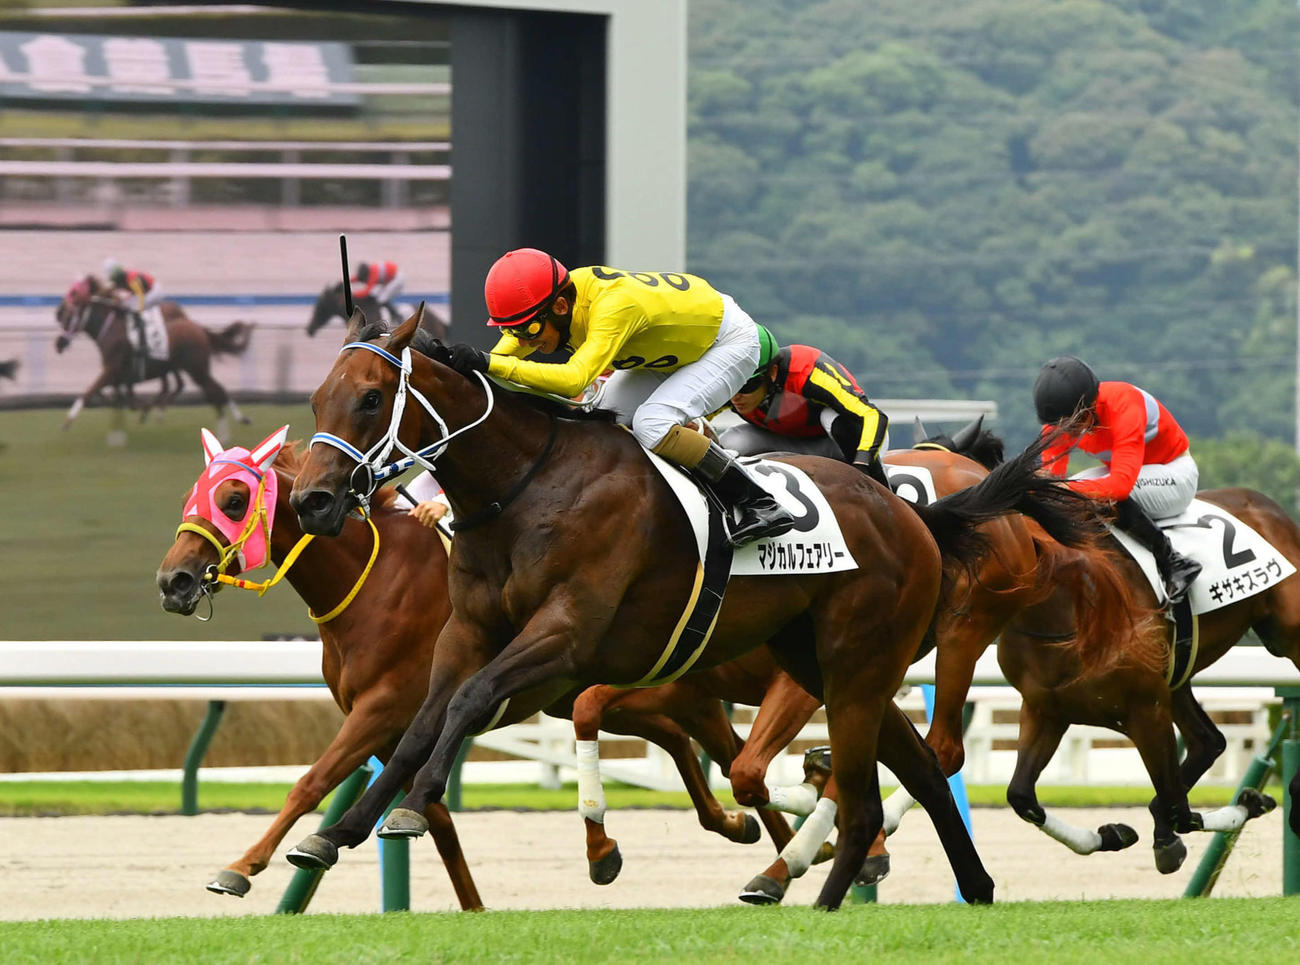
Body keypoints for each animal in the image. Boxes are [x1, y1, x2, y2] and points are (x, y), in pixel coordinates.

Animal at [55, 275, 253, 438]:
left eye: (68, 314)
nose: (58, 343)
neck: (110, 328)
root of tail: (198, 327)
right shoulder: (118, 376)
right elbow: (111, 396)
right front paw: (125, 425)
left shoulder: (111, 370)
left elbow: (88, 392)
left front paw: (67, 421)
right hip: (189, 369)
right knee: (209, 390)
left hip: (197, 369)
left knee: (216, 391)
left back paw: (228, 429)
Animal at [155, 429, 796, 905]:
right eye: (191, 494)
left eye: (234, 500)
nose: (173, 581)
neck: (375, 584)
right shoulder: (398, 729)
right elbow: (436, 820)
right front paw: (471, 905)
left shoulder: (380, 710)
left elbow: (311, 781)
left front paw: (242, 867)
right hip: (607, 695)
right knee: (688, 742)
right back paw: (727, 835)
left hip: (662, 687)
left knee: (728, 753)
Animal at [282, 307, 1103, 909]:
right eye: (317, 399)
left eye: (370, 398)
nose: (313, 501)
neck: (525, 485)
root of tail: (910, 512)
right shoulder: (470, 631)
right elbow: (424, 720)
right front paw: (336, 831)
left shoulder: (567, 635)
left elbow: (471, 700)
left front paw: (413, 805)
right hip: (824, 662)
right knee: (922, 772)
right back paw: (971, 886)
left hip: (856, 661)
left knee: (872, 791)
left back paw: (823, 892)